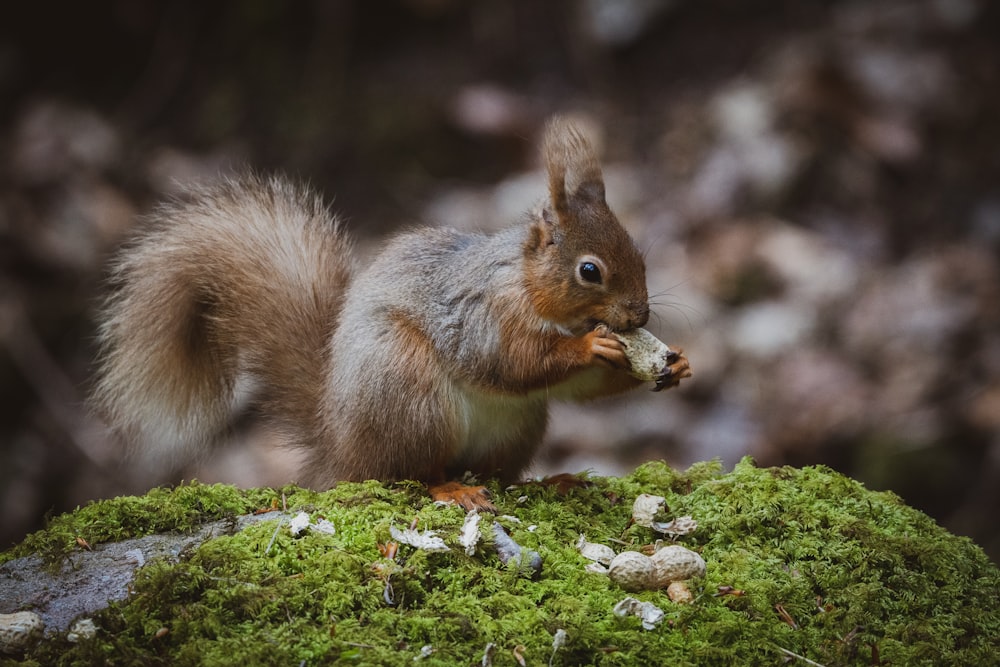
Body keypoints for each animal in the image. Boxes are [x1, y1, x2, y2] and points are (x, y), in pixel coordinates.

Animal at [92, 117, 688, 508]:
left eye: (638, 253)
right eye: (590, 271)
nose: (639, 316)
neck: (525, 282)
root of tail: (340, 451)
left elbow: (579, 388)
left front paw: (676, 364)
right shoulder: (484, 315)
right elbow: (512, 362)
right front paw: (592, 345)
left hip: (516, 427)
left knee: (498, 473)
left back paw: (543, 482)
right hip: (408, 393)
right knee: (411, 475)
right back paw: (453, 488)